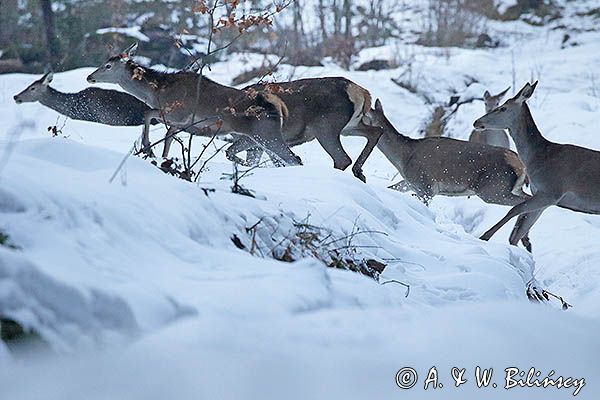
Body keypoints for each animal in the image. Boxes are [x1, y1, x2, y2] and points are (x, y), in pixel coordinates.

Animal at [85, 44, 300, 167]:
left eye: (108, 66)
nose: (89, 77)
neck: (157, 92)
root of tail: (279, 106)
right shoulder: (179, 123)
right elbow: (168, 137)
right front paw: (162, 158)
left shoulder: (179, 114)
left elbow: (148, 114)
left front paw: (147, 148)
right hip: (254, 138)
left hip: (266, 133)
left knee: (294, 159)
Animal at [370, 98, 536, 250]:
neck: (403, 158)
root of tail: (519, 164)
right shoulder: (410, 183)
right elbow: (391, 188)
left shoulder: (426, 186)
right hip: (510, 188)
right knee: (528, 199)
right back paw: (523, 239)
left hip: (492, 188)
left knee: (524, 202)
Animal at [472, 82, 600, 247]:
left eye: (503, 108)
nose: (477, 122)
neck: (537, 158)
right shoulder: (541, 194)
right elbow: (517, 232)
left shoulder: (551, 191)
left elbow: (515, 209)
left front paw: (484, 236)